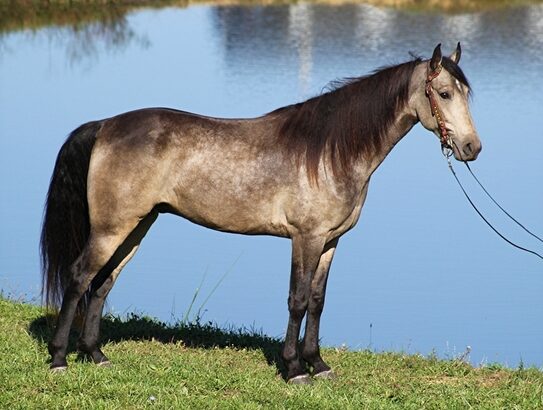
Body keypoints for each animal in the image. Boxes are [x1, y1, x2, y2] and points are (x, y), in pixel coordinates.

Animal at [41, 43, 480, 382]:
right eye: (443, 93)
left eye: (465, 94)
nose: (472, 147)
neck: (330, 152)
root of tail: (105, 126)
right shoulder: (306, 238)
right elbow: (297, 300)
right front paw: (294, 370)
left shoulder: (330, 242)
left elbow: (317, 300)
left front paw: (318, 364)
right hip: (111, 229)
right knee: (79, 278)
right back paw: (60, 358)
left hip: (135, 227)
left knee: (103, 283)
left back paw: (96, 355)